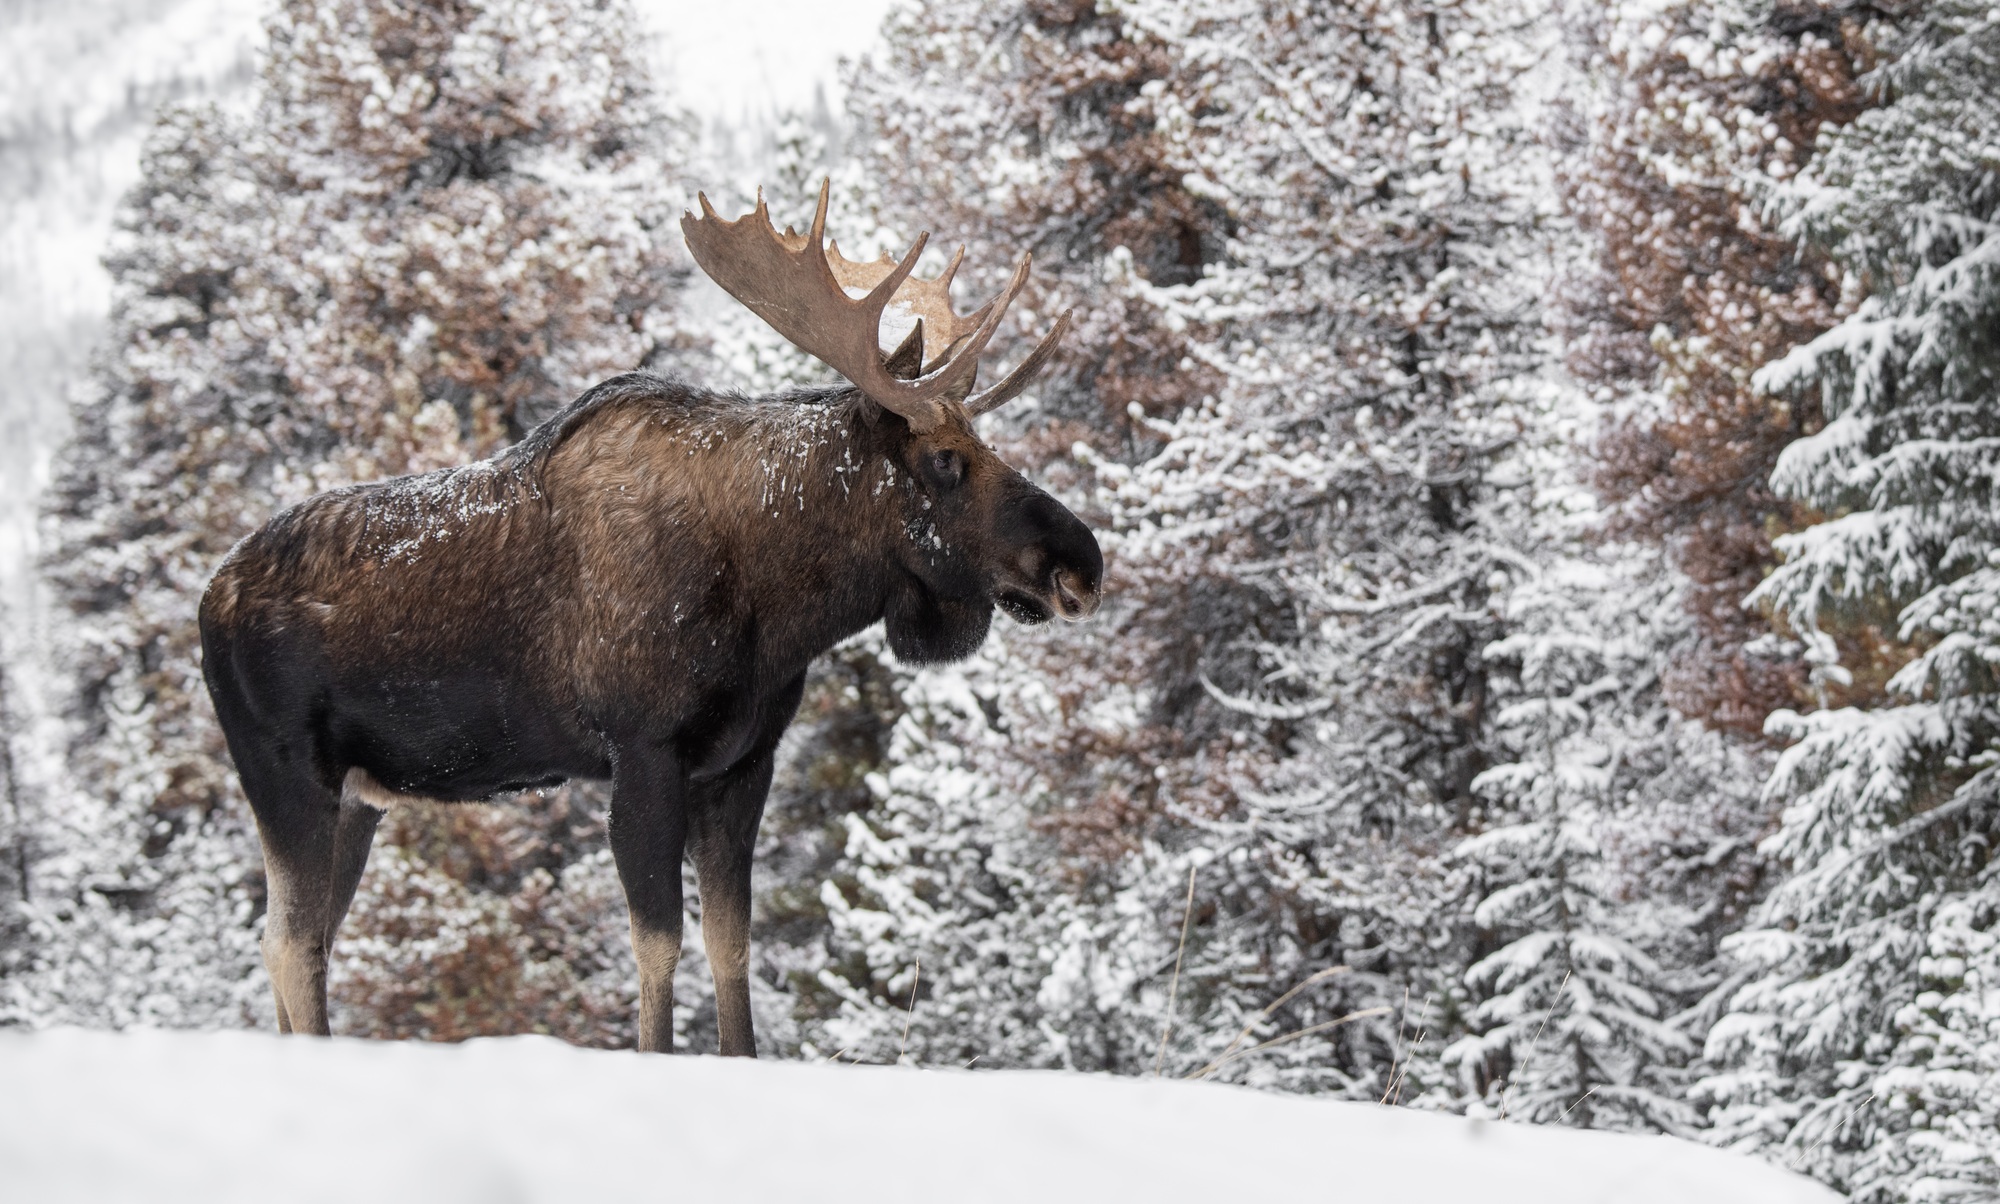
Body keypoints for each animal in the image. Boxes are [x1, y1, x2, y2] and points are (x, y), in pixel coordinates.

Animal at [201, 178, 1104, 1048]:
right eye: (946, 460)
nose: (1082, 563)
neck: (778, 607)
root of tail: (209, 602)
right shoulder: (643, 751)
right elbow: (658, 949)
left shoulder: (742, 763)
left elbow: (730, 946)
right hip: (286, 771)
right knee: (292, 944)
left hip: (358, 796)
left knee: (302, 938)